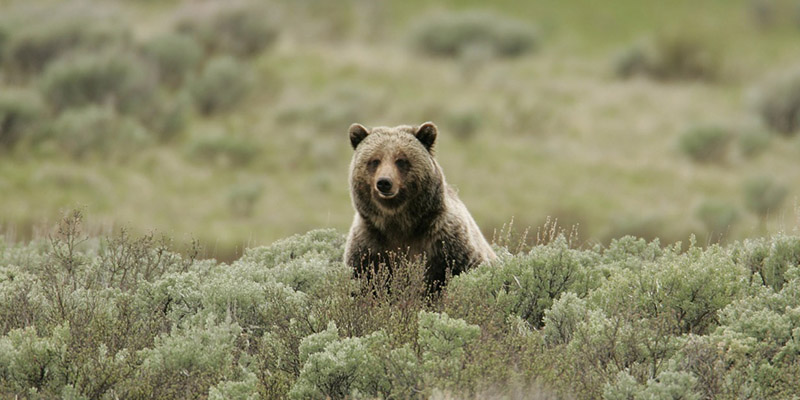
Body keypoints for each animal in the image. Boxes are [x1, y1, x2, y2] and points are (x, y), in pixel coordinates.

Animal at [344, 120, 494, 290]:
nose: (384, 182)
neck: (399, 223)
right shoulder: (368, 246)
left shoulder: (447, 243)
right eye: (375, 160)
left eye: (401, 160)